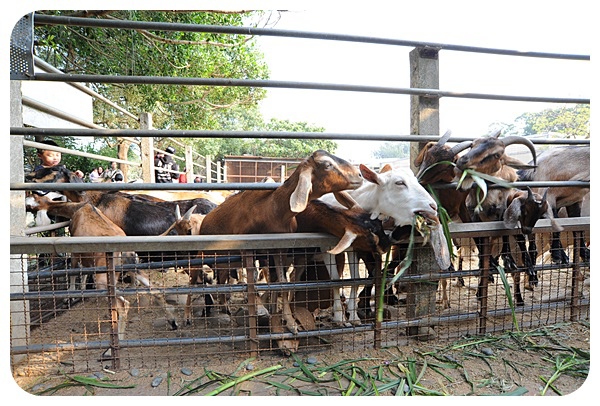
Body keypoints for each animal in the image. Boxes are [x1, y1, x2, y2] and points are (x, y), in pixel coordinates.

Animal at [199, 149, 364, 334]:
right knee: (215, 276)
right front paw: (259, 312)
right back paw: (221, 306)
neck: (271, 210)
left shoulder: (280, 248)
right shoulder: (247, 248)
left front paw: (290, 322)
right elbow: (252, 280)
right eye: (327, 164)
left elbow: (282, 282)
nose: (359, 175)